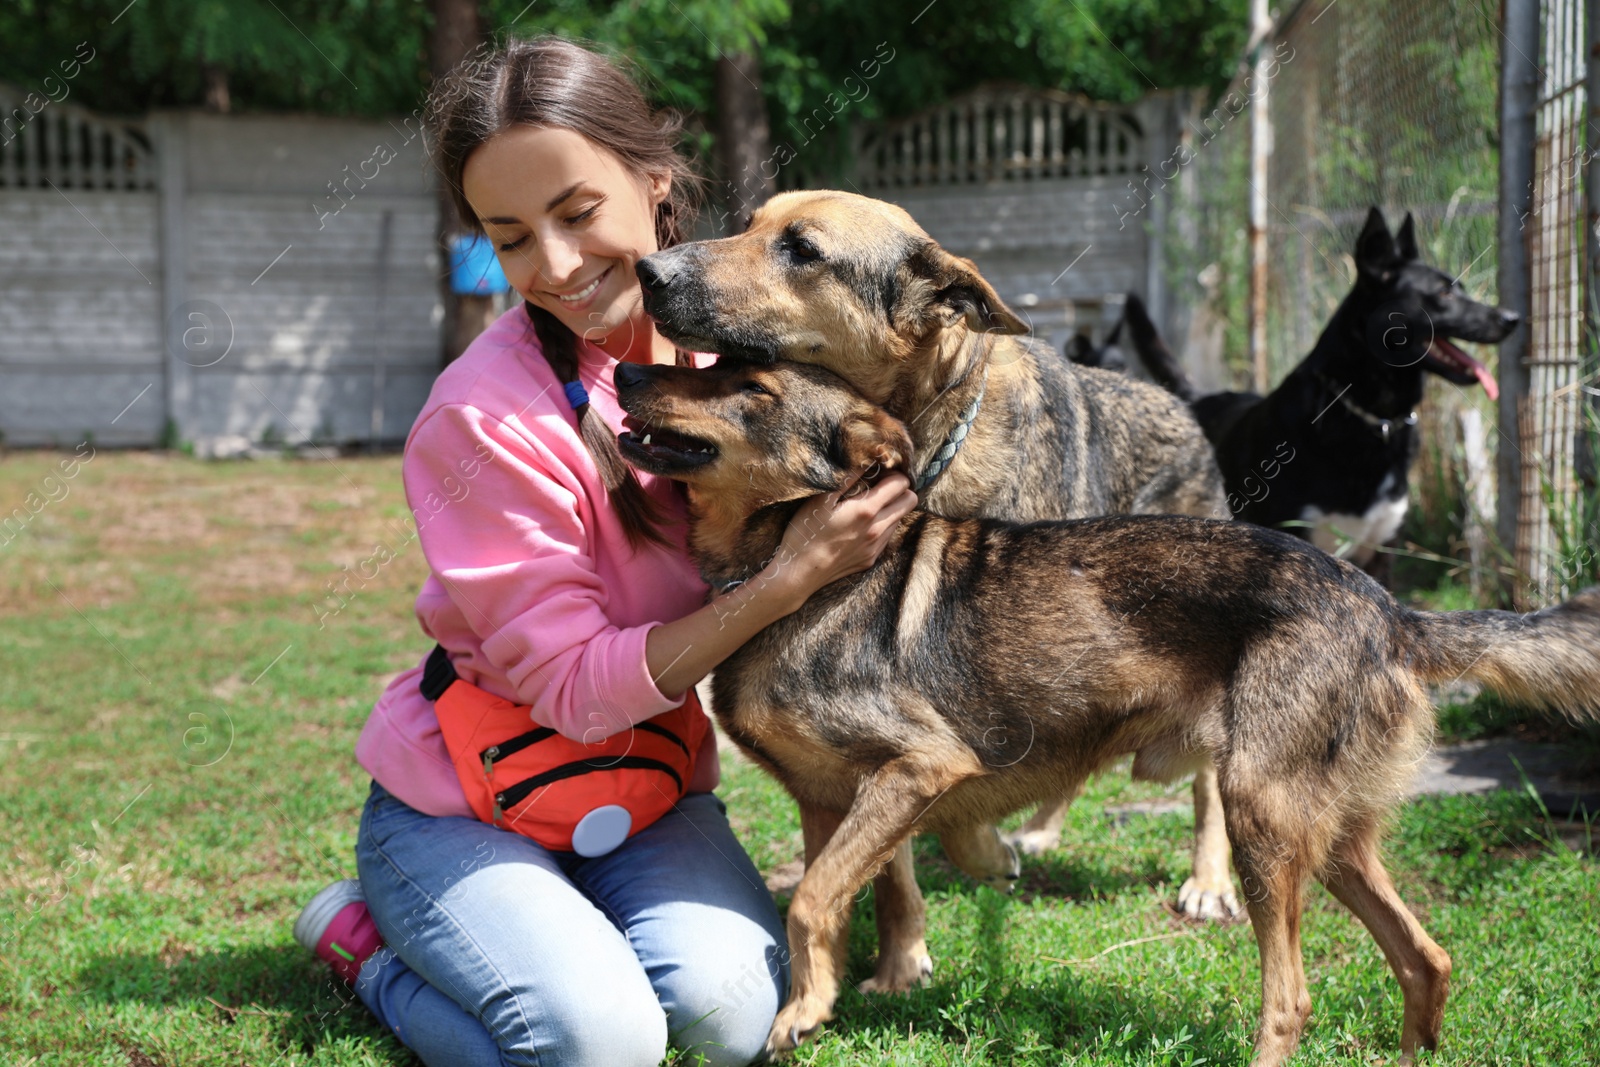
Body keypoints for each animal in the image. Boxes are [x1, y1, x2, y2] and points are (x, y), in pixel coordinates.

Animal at [611, 355, 1600, 1062]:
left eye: (751, 387)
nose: (623, 372)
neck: (791, 566)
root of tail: (1389, 609)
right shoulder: (832, 798)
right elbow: (858, 891)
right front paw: (841, 990)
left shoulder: (925, 762)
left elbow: (814, 899)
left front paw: (805, 1009)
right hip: (1331, 841)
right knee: (1425, 957)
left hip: (1259, 816)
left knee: (1292, 998)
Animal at [1132, 206, 1516, 575]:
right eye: (1444, 293)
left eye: (1460, 288)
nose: (1512, 318)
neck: (1368, 418)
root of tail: (1196, 399)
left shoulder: (1381, 553)